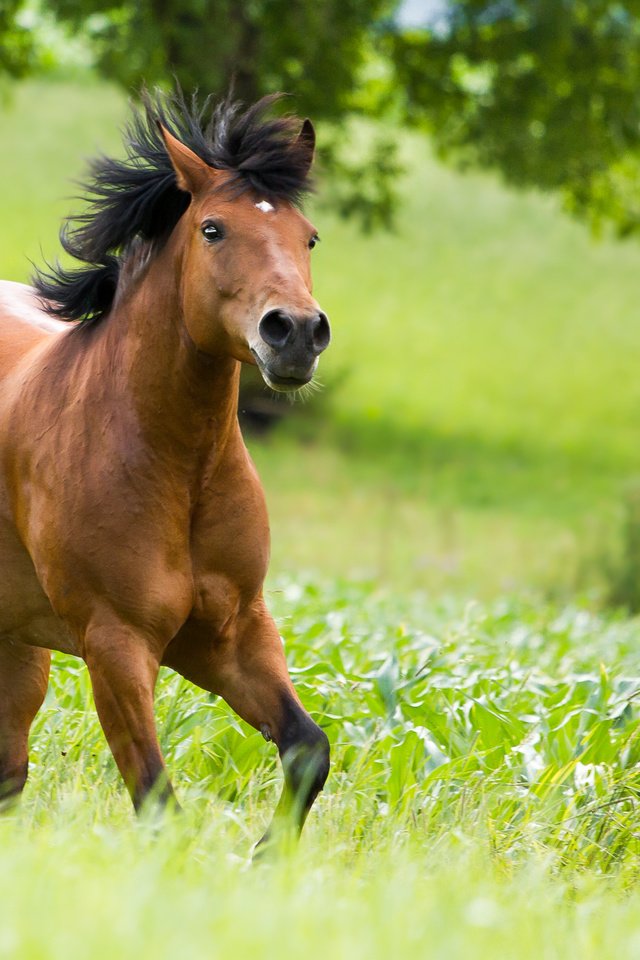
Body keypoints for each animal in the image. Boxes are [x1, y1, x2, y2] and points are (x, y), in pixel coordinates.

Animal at [0, 88, 332, 840]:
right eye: (212, 229)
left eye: (309, 237)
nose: (296, 332)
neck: (179, 469)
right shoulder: (116, 644)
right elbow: (157, 800)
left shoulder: (230, 633)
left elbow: (308, 750)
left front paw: (267, 854)